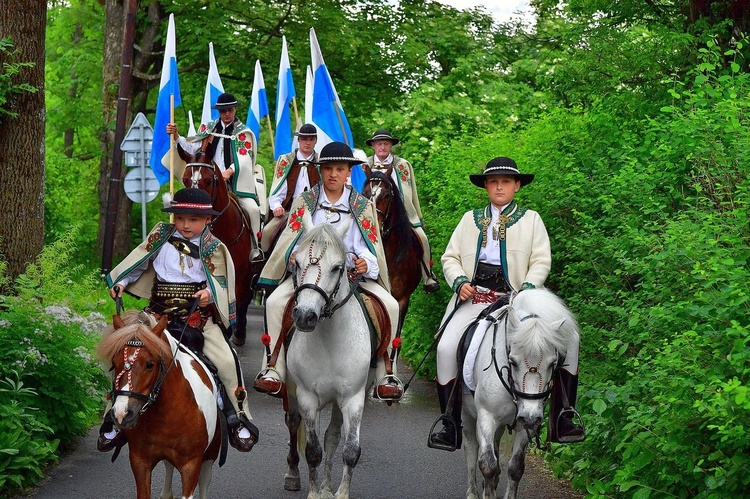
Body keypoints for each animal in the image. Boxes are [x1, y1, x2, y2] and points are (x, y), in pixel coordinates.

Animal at [97, 310, 222, 498]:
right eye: (114, 363)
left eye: (150, 364)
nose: (122, 413)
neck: (164, 416)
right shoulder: (140, 462)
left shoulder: (191, 465)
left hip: (210, 455)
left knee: (204, 481)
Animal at [284, 225, 374, 499]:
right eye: (297, 262)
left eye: (337, 267)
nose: (305, 316)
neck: (329, 340)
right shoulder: (306, 397)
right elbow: (313, 451)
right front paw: (314, 493)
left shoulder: (354, 399)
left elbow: (350, 450)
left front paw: (338, 493)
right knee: (293, 424)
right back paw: (294, 475)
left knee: (332, 436)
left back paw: (326, 487)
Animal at [464, 290, 580, 499]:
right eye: (513, 361)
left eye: (553, 363)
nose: (530, 416)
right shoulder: (486, 417)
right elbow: (487, 464)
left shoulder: (525, 426)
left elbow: (515, 468)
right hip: (467, 415)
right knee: (471, 448)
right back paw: (473, 493)